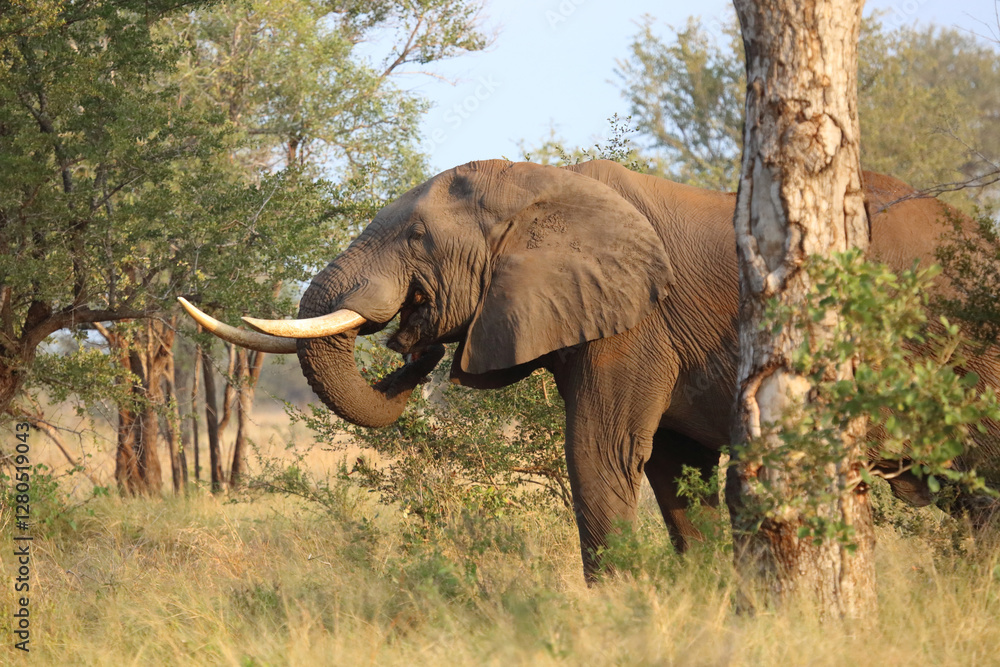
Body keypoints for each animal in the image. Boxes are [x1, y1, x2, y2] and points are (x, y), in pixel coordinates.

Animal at [180, 159, 1000, 580]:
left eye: (416, 239)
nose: (414, 332)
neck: (543, 184)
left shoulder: (636, 320)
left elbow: (602, 453)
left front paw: (621, 602)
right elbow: (675, 468)